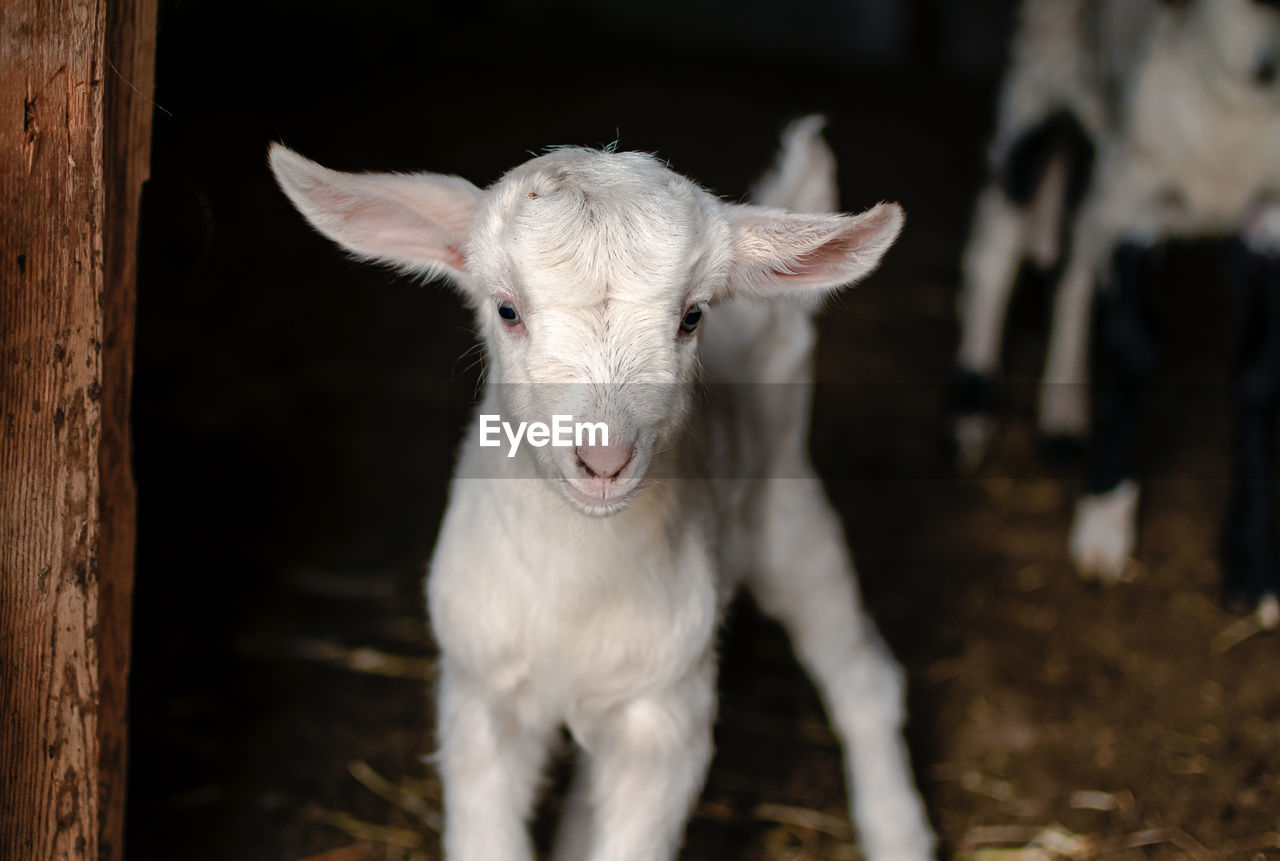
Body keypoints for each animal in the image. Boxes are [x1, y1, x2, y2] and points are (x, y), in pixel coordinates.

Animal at [270, 118, 936, 859]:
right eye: (507, 309)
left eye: (691, 316)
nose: (605, 458)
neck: (577, 575)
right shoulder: (480, 689)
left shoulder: (667, 712)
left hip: (791, 518)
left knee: (862, 679)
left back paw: (899, 830)